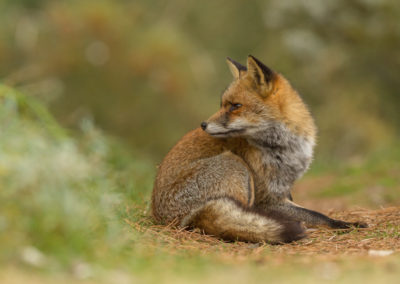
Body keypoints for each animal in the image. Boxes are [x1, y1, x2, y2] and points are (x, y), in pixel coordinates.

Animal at [152, 56, 368, 244]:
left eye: (235, 106)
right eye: (222, 105)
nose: (203, 124)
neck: (286, 146)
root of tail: (161, 217)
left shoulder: (282, 187)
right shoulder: (266, 198)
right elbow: (317, 215)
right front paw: (345, 224)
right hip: (235, 165)